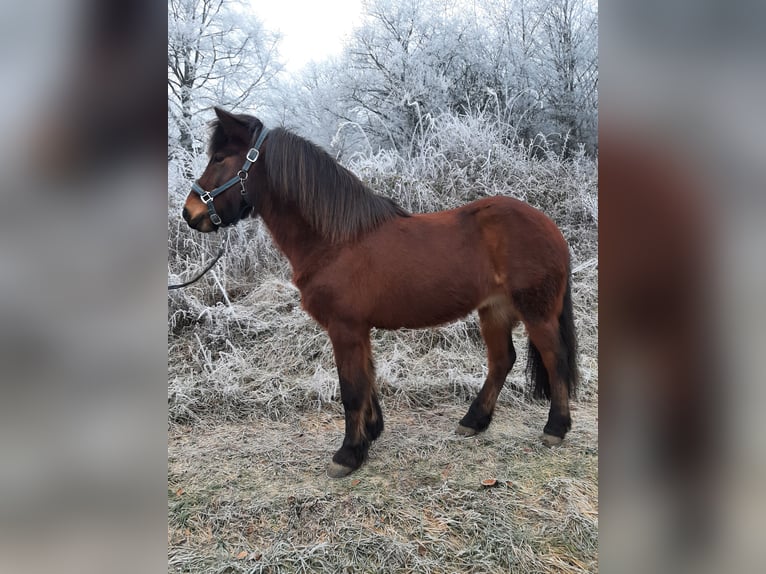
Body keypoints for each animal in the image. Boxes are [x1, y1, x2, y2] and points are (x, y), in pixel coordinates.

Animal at [181, 107, 578, 478]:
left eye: (220, 158)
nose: (190, 213)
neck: (336, 241)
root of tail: (550, 227)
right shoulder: (358, 330)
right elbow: (367, 379)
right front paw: (370, 434)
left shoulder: (345, 328)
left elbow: (351, 388)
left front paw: (348, 454)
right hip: (494, 311)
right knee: (501, 361)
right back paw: (473, 422)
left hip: (536, 311)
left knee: (554, 358)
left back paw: (555, 428)